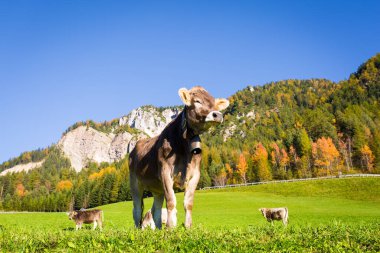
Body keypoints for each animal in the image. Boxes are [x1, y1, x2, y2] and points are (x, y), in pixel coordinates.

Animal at [129, 86, 229, 229]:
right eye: (197, 101)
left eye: (215, 104)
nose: (217, 115)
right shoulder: (165, 172)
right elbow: (171, 201)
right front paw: (170, 227)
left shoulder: (195, 175)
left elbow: (188, 203)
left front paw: (188, 227)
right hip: (134, 183)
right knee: (136, 209)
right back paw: (138, 229)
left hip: (157, 188)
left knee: (156, 209)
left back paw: (159, 229)